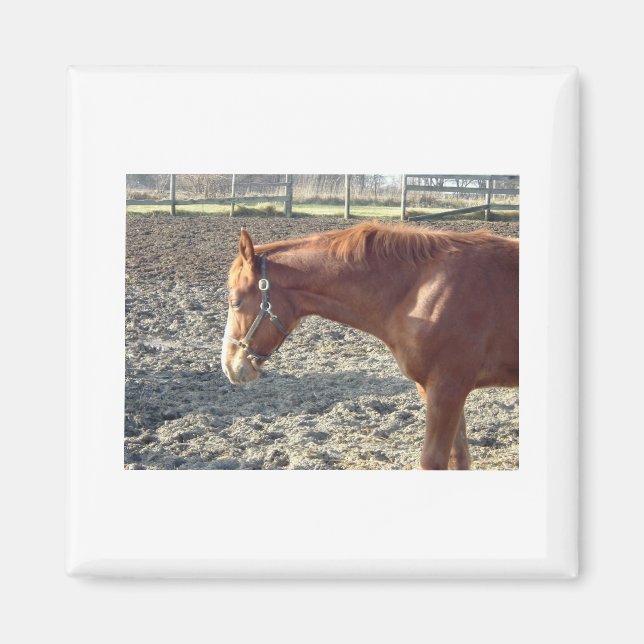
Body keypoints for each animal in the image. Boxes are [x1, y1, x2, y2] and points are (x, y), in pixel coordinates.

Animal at [221, 222, 519, 470]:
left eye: (235, 302)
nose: (230, 366)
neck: (422, 290)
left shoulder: (447, 390)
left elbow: (432, 462)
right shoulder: (436, 391)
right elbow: (459, 459)